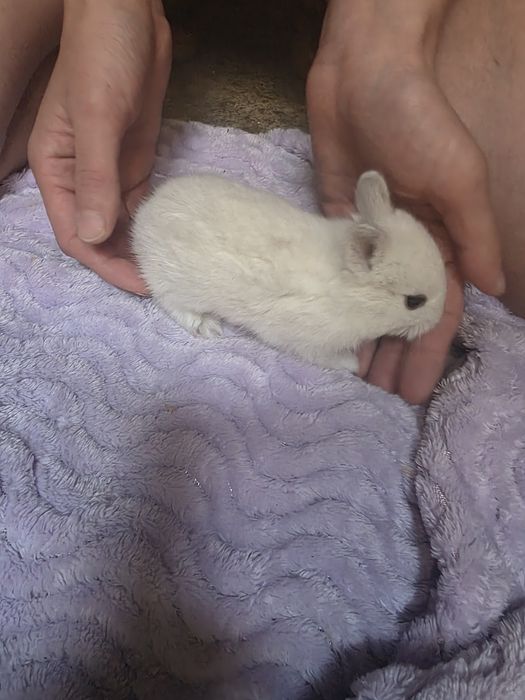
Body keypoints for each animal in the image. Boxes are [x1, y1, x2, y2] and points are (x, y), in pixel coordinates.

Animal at [131, 171, 446, 372]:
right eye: (414, 302)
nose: (437, 320)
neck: (351, 290)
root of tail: (143, 219)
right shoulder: (309, 340)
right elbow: (325, 358)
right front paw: (352, 365)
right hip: (179, 285)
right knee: (172, 303)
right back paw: (207, 326)